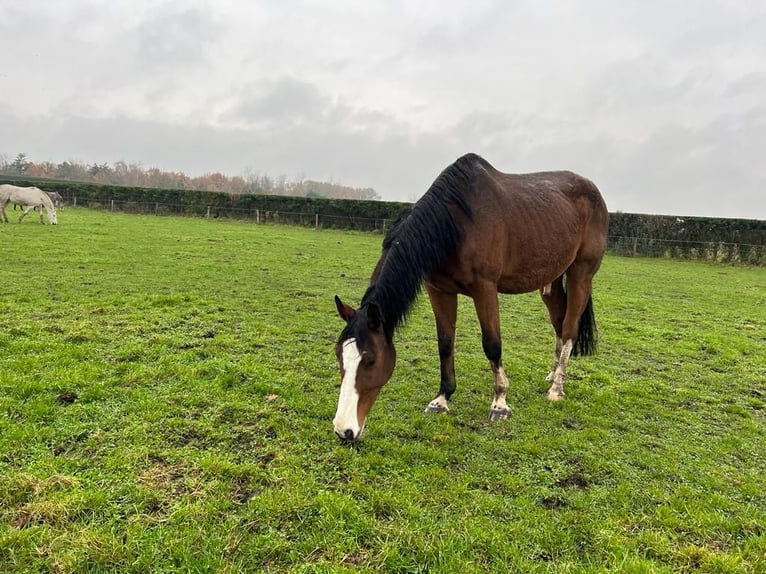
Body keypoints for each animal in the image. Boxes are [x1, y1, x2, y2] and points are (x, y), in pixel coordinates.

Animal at [332, 153, 608, 440]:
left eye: (371, 360)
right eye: (339, 356)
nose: (343, 430)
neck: (455, 223)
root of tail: (594, 192)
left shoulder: (484, 289)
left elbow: (492, 344)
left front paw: (500, 403)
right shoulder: (439, 291)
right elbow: (445, 343)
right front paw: (442, 399)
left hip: (581, 274)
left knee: (569, 329)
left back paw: (556, 388)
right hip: (551, 281)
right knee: (559, 324)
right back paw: (553, 375)